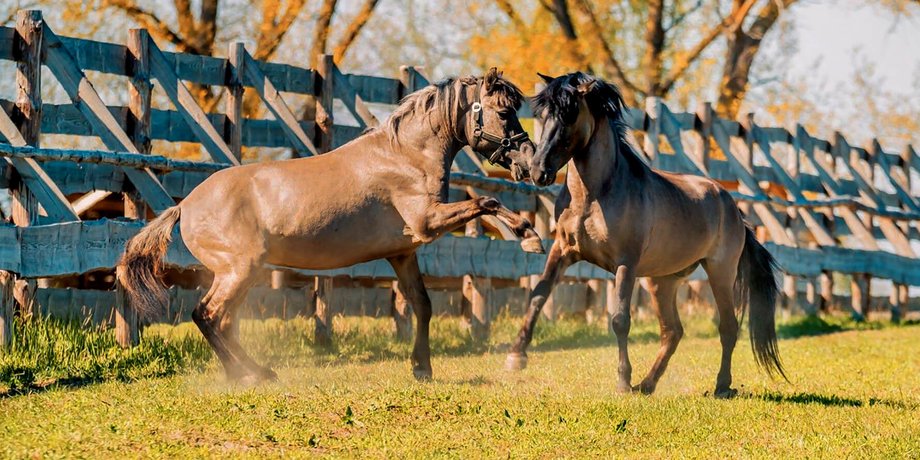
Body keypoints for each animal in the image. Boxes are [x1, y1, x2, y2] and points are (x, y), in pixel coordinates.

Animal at [118, 68, 544, 384]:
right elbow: (487, 202)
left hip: (240, 273)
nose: (530, 163)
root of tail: (185, 206)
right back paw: (251, 375)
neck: (405, 155)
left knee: (219, 320)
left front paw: (421, 368)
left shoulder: (403, 252)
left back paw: (251, 372)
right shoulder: (428, 221)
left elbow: (422, 306)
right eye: (503, 112)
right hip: (240, 269)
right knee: (207, 315)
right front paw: (530, 238)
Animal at [504, 72, 785, 398]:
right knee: (673, 332)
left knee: (727, 327)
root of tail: (732, 207)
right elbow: (538, 296)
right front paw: (515, 356)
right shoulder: (562, 251)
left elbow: (620, 320)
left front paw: (623, 381)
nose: (538, 171)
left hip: (720, 272)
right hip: (662, 280)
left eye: (570, 114)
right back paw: (647, 385)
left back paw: (721, 386)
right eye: (543, 114)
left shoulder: (625, 264)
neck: (593, 196)